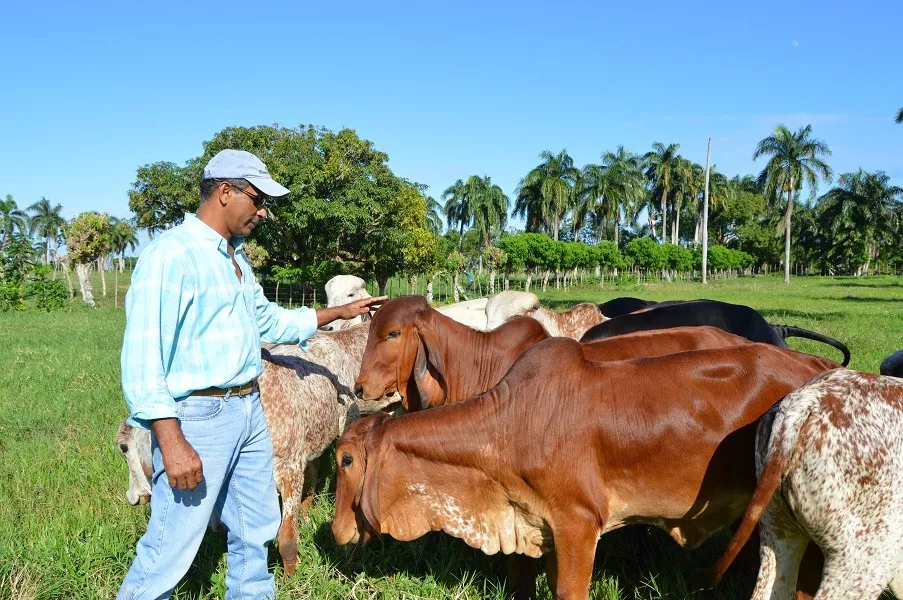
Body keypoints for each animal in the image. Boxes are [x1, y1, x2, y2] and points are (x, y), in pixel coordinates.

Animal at [338, 340, 840, 596]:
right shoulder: (546, 527)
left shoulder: (578, 523)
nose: (336, 531)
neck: (508, 425)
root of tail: (821, 364)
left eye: (344, 460)